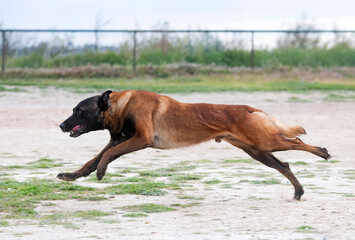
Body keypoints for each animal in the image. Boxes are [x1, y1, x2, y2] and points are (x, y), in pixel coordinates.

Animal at [58, 89, 330, 199]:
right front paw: (73, 175)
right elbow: (93, 159)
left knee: (297, 141)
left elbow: (107, 156)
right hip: (258, 151)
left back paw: (322, 152)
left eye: (78, 111)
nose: (61, 125)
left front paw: (101, 171)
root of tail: (250, 108)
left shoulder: (140, 139)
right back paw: (298, 191)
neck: (121, 105)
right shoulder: (121, 139)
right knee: (284, 165)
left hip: (266, 142)